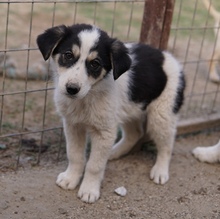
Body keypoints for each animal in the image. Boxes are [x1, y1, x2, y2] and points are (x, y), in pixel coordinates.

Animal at [37, 23, 185, 203]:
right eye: (68, 55)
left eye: (95, 64)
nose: (72, 89)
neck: (87, 97)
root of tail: (170, 59)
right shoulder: (73, 125)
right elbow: (74, 155)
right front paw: (70, 179)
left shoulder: (104, 131)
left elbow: (94, 165)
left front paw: (89, 190)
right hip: (129, 109)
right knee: (135, 133)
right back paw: (115, 152)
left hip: (161, 114)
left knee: (167, 144)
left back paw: (160, 171)